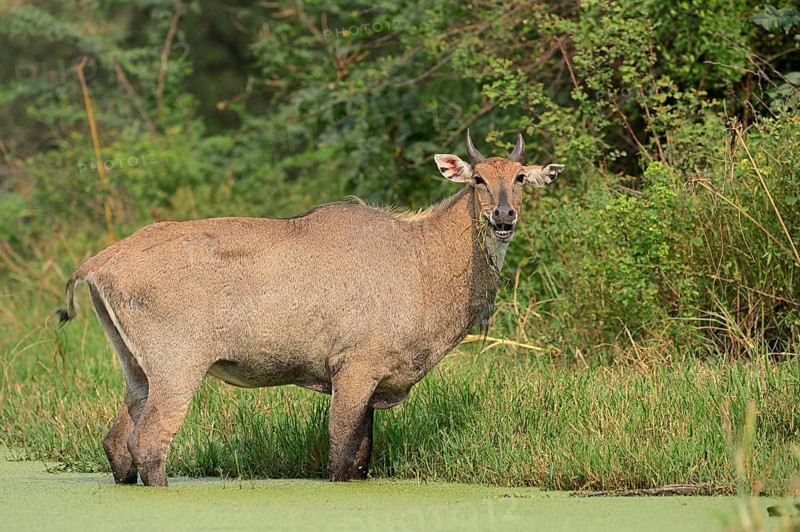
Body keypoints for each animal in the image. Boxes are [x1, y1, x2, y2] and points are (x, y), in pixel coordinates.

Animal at [57, 130, 564, 486]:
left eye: (520, 177)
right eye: (478, 179)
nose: (503, 217)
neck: (424, 260)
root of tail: (96, 264)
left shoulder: (373, 383)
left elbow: (361, 461)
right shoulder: (354, 368)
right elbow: (340, 458)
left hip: (135, 368)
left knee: (117, 441)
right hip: (176, 366)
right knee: (149, 444)